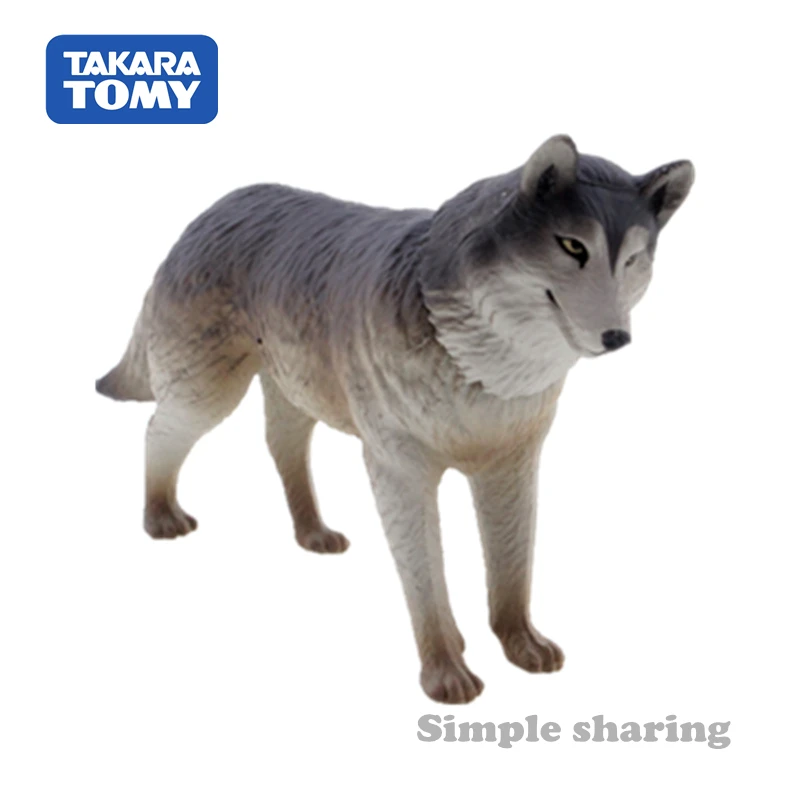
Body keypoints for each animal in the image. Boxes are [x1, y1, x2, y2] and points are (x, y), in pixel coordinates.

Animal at [97, 135, 693, 703]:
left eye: (633, 260)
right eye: (573, 246)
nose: (617, 338)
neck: (485, 366)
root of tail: (218, 205)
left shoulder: (512, 464)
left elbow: (512, 572)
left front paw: (522, 645)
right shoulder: (399, 469)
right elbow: (427, 583)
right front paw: (447, 671)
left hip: (295, 393)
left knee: (283, 445)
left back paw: (313, 532)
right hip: (206, 394)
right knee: (157, 431)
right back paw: (160, 517)